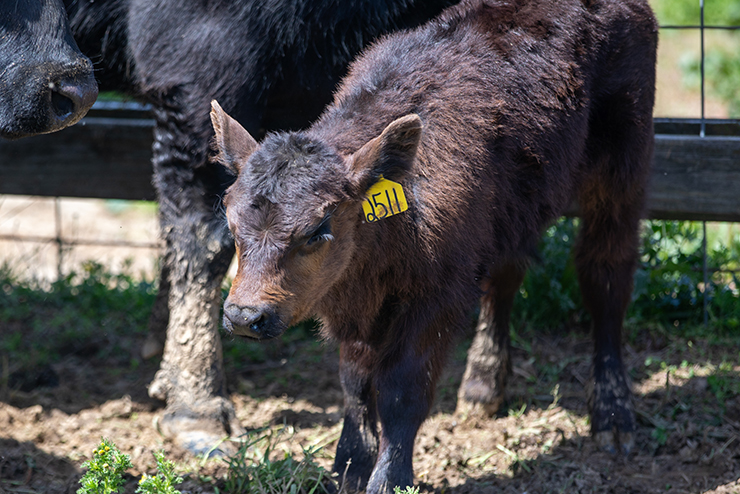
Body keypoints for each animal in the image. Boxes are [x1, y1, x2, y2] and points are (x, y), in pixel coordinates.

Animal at [210, 0, 657, 490]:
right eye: (231, 220)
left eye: (317, 230)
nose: (244, 316)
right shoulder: (358, 306)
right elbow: (355, 382)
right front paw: (348, 466)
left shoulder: (437, 299)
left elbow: (402, 390)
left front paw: (390, 478)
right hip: (514, 213)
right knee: (506, 277)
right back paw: (482, 389)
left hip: (622, 168)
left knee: (605, 274)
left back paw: (613, 418)